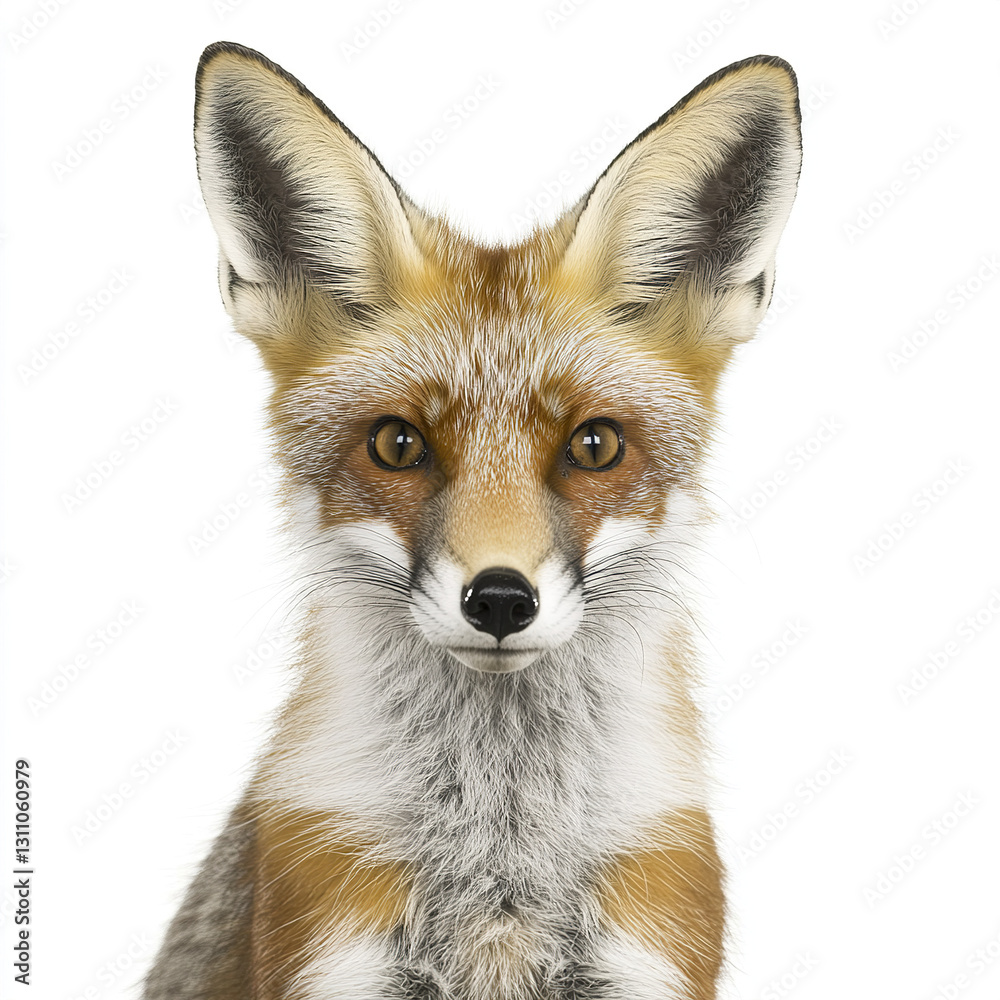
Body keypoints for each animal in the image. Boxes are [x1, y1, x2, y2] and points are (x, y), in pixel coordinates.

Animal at [143, 42, 801, 1000]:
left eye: (595, 445)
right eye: (397, 444)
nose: (499, 599)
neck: (500, 853)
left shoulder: (648, 944)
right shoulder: (333, 944)